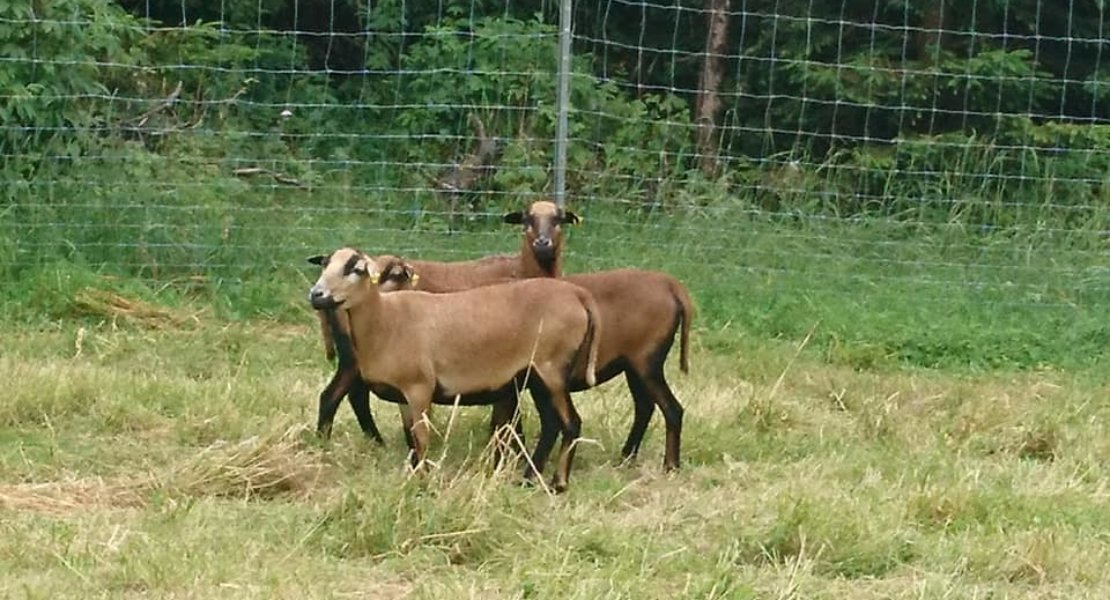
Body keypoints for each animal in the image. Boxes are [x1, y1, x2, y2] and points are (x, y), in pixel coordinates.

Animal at [506, 198, 692, 470]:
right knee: (645, 406)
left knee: (672, 409)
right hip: (633, 363)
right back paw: (626, 457)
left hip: (648, 358)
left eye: (558, 220)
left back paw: (670, 466)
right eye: (526, 219)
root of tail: (672, 285)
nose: (542, 243)